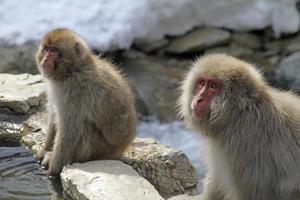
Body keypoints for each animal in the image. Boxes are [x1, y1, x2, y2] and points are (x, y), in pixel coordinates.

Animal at [35, 27, 137, 177]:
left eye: (54, 51)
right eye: (46, 49)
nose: (46, 58)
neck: (72, 70)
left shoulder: (74, 92)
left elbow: (69, 130)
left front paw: (52, 172)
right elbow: (53, 116)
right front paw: (43, 151)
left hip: (98, 149)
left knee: (85, 126)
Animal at [179, 53, 298, 200]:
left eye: (213, 86)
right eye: (201, 83)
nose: (198, 99)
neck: (238, 113)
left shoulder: (243, 143)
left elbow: (255, 193)